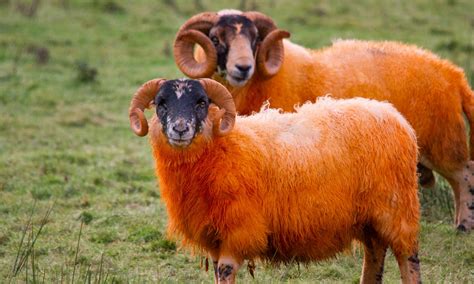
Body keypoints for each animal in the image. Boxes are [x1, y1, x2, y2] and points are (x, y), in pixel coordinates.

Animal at [128, 77, 420, 284]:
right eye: (161, 103)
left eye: (201, 102)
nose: (180, 129)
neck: (222, 149)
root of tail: (395, 116)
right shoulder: (215, 236)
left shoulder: (238, 232)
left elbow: (224, 272)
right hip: (369, 217)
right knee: (375, 253)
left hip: (398, 209)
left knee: (408, 257)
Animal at [173, 11, 474, 233]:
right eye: (215, 38)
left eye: (255, 38)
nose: (243, 67)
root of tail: (454, 75)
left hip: (443, 141)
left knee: (464, 175)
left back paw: (463, 225)